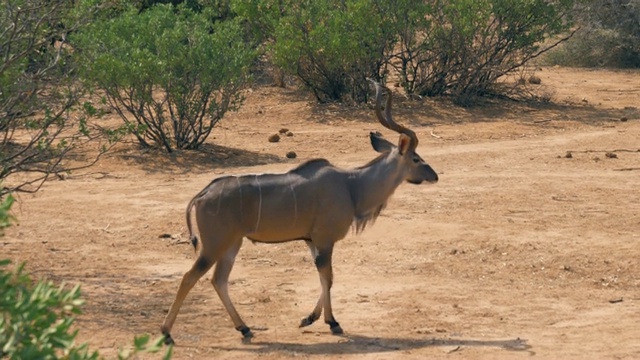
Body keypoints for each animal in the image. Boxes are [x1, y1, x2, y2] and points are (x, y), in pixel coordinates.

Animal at [161, 80, 440, 344]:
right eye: (416, 158)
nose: (434, 176)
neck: (352, 186)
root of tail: (202, 194)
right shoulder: (325, 240)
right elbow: (328, 276)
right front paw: (332, 322)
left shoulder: (311, 241)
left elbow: (325, 277)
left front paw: (310, 318)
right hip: (213, 245)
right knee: (189, 277)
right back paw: (166, 333)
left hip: (232, 244)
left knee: (218, 280)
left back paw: (245, 328)